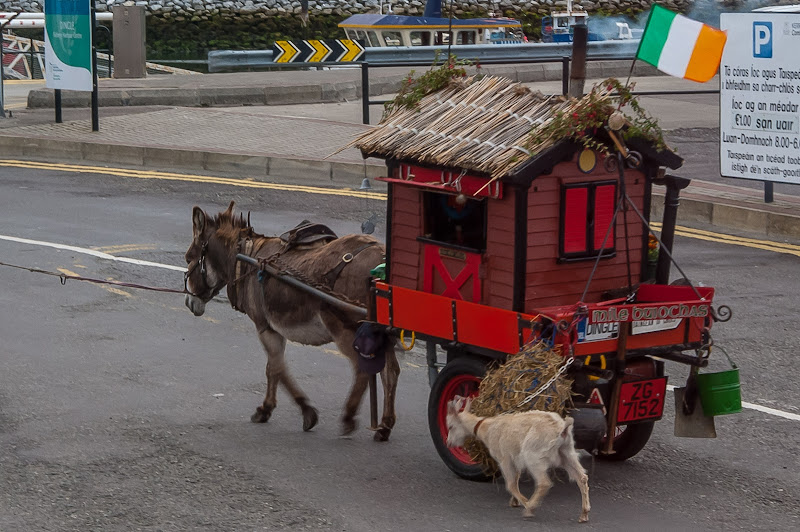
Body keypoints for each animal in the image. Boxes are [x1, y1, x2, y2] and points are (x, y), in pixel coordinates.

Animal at [446, 396, 592, 520]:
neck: (486, 429)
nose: (448, 443)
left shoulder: (504, 459)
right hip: (567, 453)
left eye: (451, 426)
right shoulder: (514, 459)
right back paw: (584, 514)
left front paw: (524, 502)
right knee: (582, 477)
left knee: (544, 483)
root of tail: (562, 429)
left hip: (534, 456)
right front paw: (514, 501)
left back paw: (530, 508)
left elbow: (510, 484)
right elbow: (515, 480)